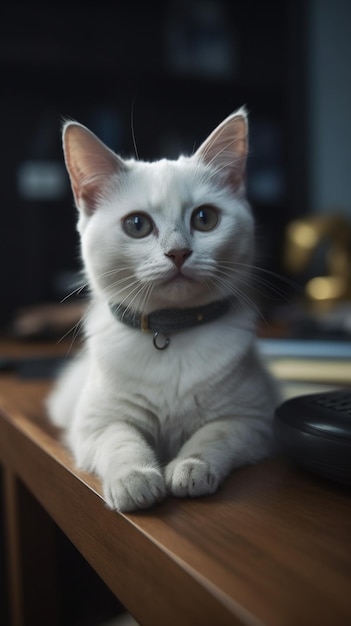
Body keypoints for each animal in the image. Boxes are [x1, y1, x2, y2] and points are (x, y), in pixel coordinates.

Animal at [46, 105, 280, 510]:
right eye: (137, 224)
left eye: (205, 218)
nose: (179, 253)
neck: (170, 329)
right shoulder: (94, 422)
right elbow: (122, 440)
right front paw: (136, 481)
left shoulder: (253, 420)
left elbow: (213, 435)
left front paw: (190, 468)